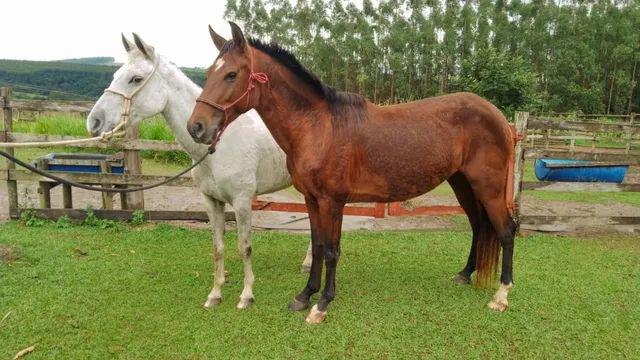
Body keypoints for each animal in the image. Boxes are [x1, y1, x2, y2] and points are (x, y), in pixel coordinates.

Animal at [87, 33, 312, 310]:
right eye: (116, 73)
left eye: (136, 79)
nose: (94, 122)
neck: (219, 145)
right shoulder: (211, 201)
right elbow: (218, 247)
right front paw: (215, 294)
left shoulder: (242, 201)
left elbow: (244, 247)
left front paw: (246, 295)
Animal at [188, 21, 516, 322]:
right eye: (209, 72)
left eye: (231, 74)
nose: (197, 127)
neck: (318, 127)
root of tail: (500, 118)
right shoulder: (311, 200)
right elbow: (318, 246)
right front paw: (304, 296)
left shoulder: (333, 201)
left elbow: (332, 251)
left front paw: (322, 305)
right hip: (463, 184)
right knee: (478, 226)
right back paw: (465, 274)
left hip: (488, 187)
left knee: (506, 230)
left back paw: (501, 296)